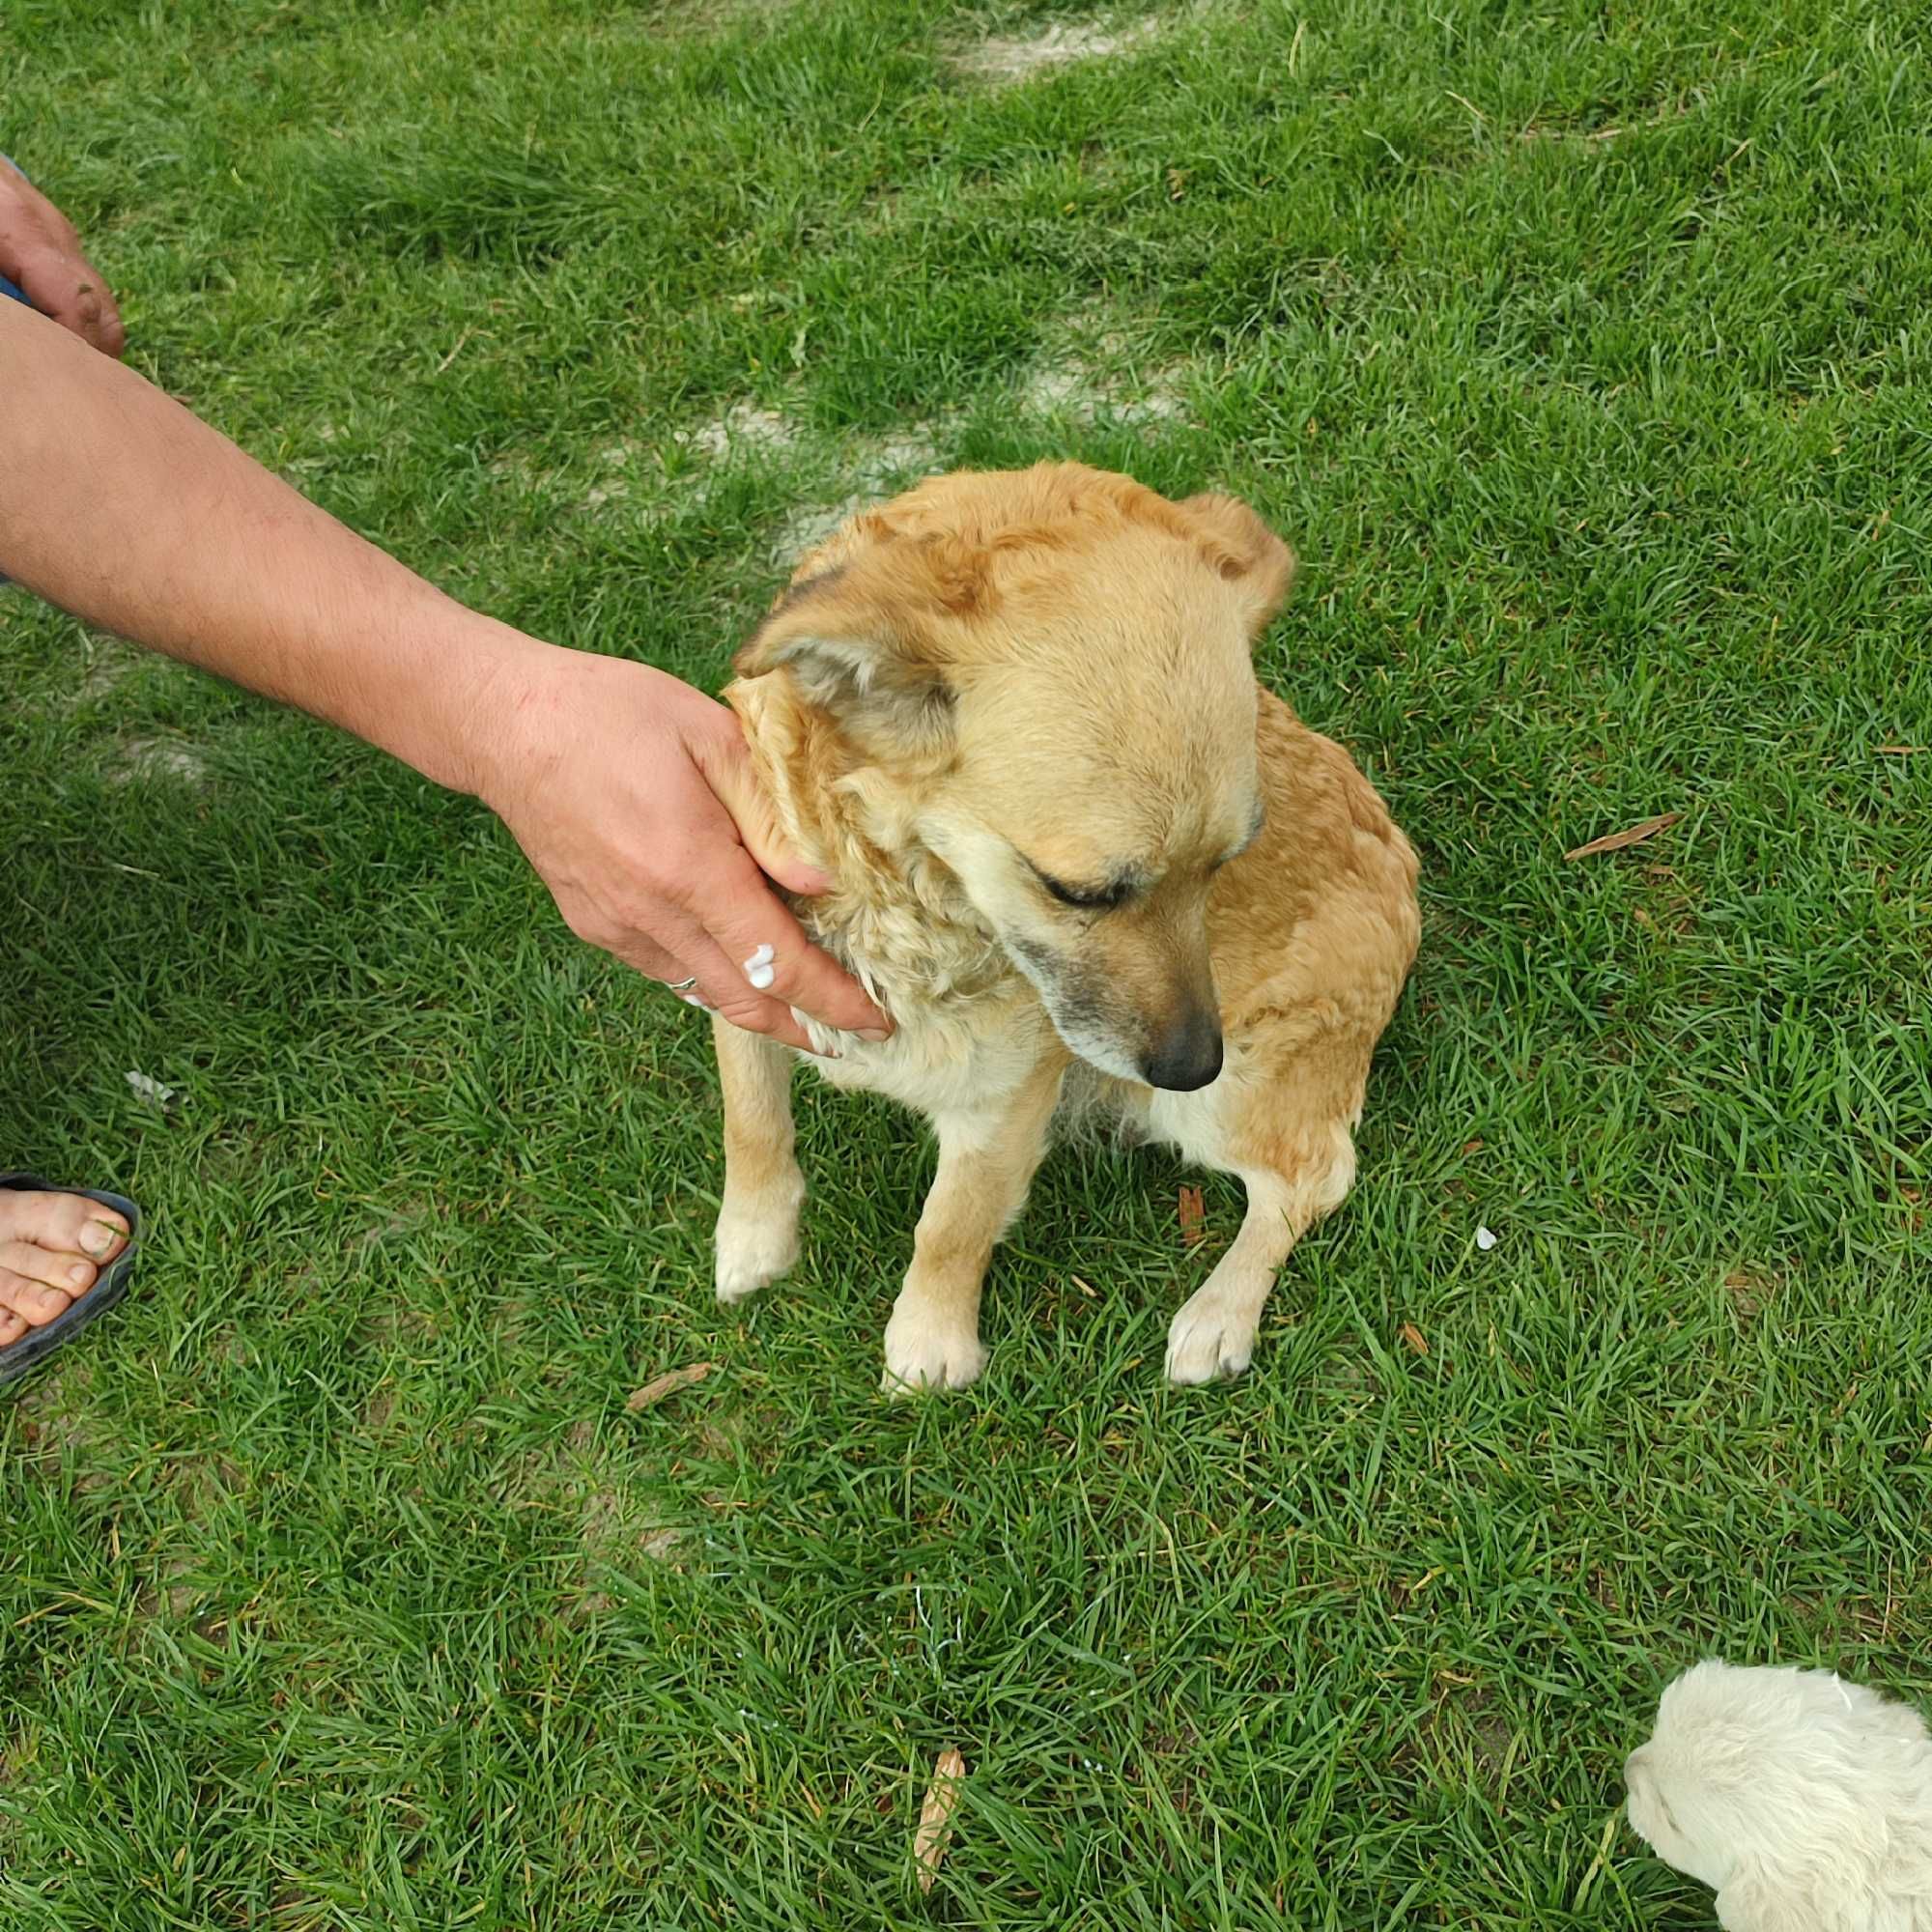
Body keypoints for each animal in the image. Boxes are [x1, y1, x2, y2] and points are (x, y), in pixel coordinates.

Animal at [711, 464, 1422, 1391]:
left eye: (1224, 864)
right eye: (1078, 893)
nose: (1193, 1065)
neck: (904, 903)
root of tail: (1409, 883)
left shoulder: (1002, 1105)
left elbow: (951, 1228)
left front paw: (927, 1347)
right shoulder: (735, 963)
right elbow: (751, 1122)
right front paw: (753, 1239)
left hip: (1228, 1105)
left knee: (1313, 1179)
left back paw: (1217, 1316)